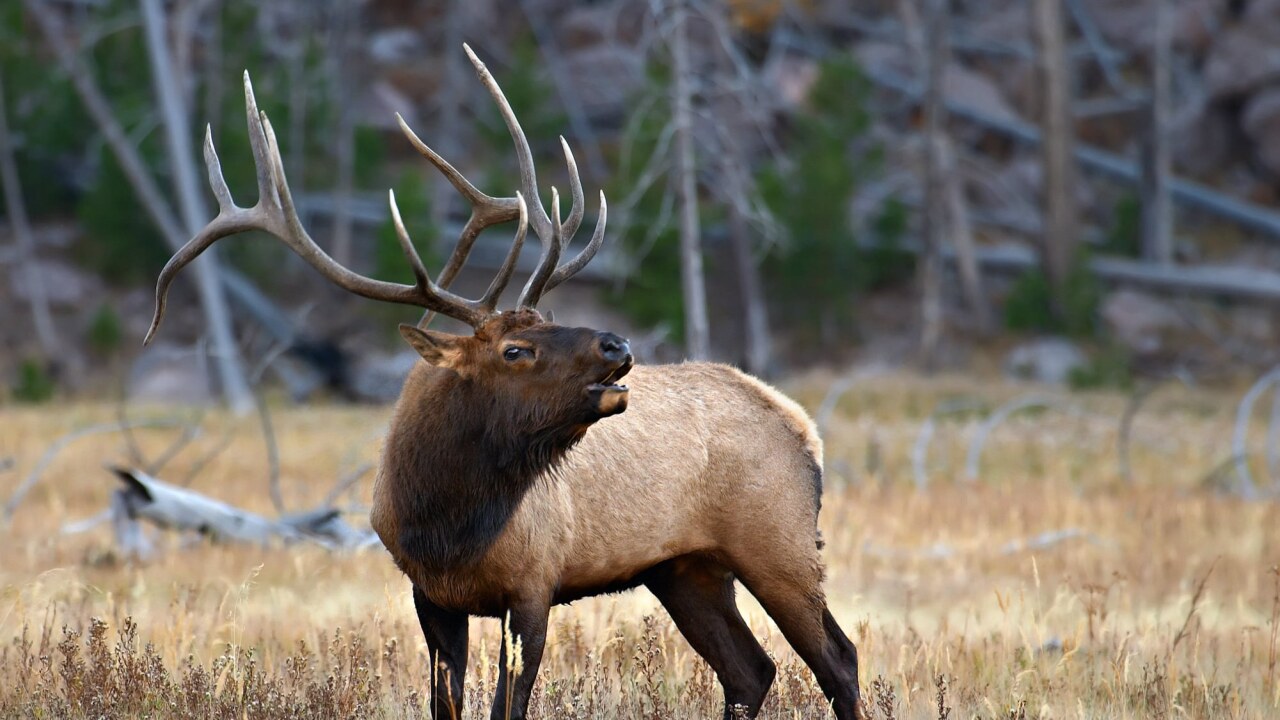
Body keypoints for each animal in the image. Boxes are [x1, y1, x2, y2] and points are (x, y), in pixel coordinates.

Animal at [144, 45, 864, 720]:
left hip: (778, 542)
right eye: (516, 349)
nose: (618, 343)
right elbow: (447, 703)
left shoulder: (534, 587)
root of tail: (802, 424)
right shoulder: (429, 595)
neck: (449, 521)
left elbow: (505, 706)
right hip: (685, 567)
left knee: (838, 658)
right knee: (751, 670)